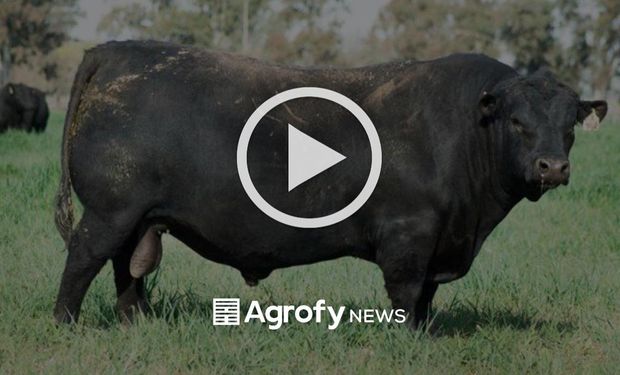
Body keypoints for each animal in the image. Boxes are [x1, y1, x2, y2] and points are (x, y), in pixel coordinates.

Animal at [52, 41, 604, 328]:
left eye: (570, 125)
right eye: (517, 122)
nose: (552, 167)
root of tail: (118, 50)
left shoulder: (440, 240)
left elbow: (426, 298)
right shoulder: (410, 236)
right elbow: (407, 294)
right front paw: (410, 341)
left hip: (138, 218)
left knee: (128, 268)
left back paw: (136, 322)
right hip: (109, 211)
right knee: (83, 259)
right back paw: (66, 323)